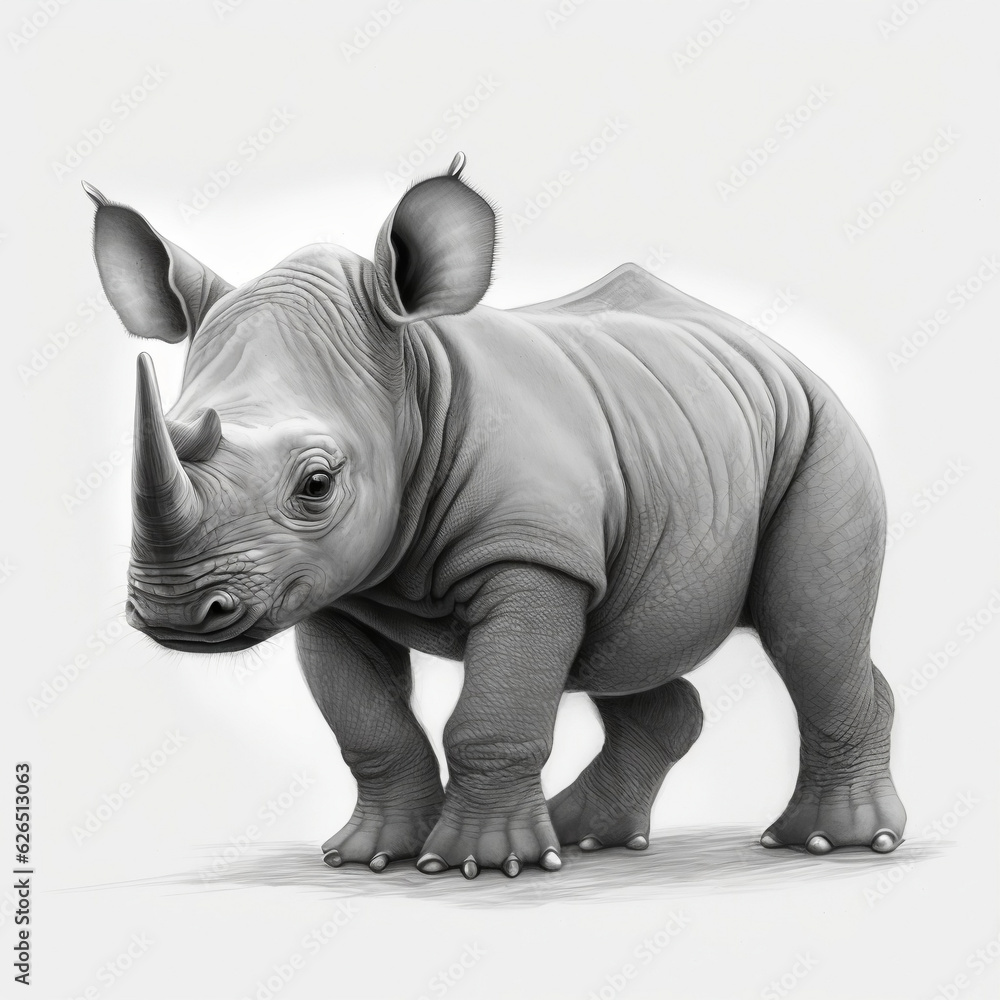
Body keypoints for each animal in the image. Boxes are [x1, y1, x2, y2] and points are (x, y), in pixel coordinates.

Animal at [84, 153, 905, 879]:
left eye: (316, 483)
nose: (174, 612)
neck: (415, 384)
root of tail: (777, 351)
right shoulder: (329, 581)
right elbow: (369, 725)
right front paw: (371, 856)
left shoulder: (534, 552)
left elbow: (492, 713)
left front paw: (481, 863)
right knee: (628, 641)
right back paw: (585, 837)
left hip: (820, 432)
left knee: (806, 629)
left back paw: (832, 843)